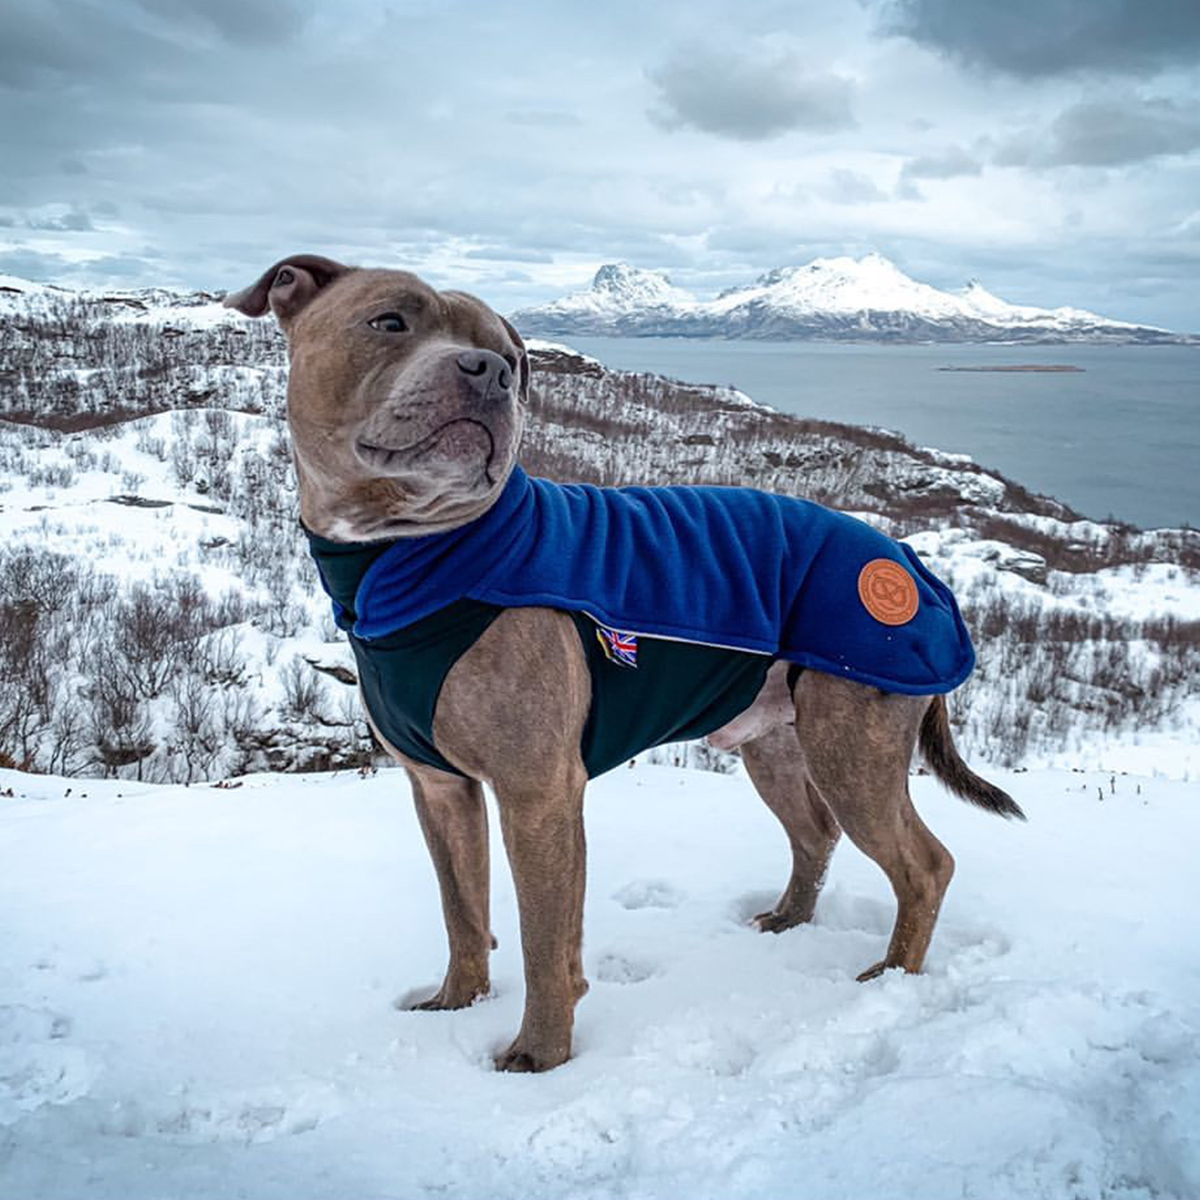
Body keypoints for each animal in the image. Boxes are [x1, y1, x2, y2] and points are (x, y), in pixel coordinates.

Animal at [225, 258, 1022, 1075]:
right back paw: (788, 921)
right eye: (388, 322)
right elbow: (461, 910)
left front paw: (537, 1058)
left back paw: (891, 978)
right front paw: (455, 1005)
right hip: (772, 740)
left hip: (851, 745)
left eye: (508, 358)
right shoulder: (440, 791)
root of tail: (912, 564)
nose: (489, 373)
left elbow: (546, 942)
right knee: (815, 834)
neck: (416, 556)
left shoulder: (538, 795)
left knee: (923, 864)